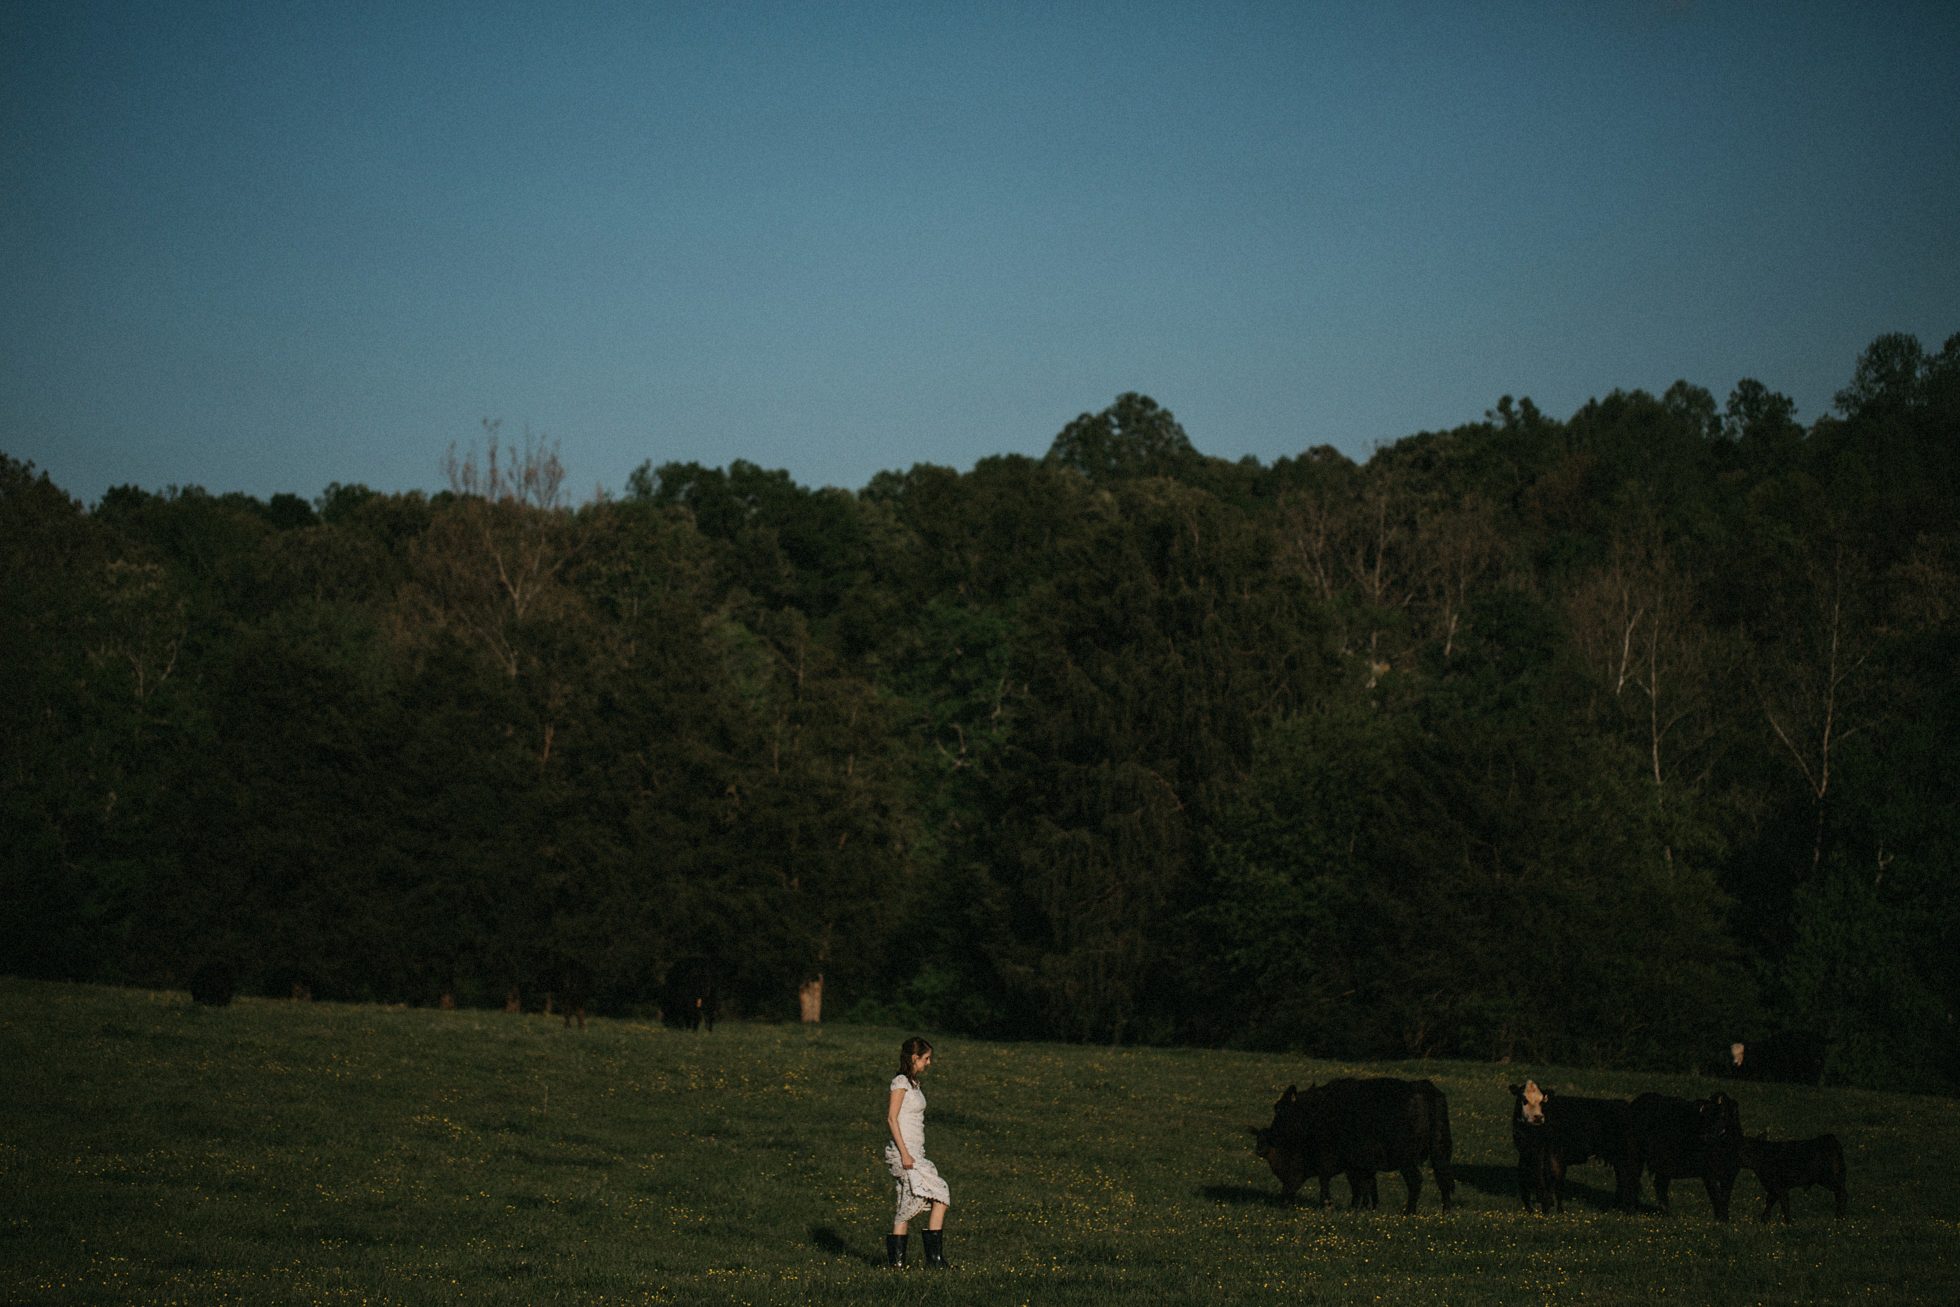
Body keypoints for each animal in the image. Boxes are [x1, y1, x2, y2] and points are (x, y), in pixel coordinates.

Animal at [1505, 1081, 1646, 1214]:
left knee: (1629, 1179)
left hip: (1626, 1156)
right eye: (1524, 1099)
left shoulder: (1556, 1156)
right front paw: (1537, 1207)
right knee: (1623, 1179)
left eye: (1542, 1100)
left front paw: (1557, 1209)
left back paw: (1629, 1209)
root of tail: (1624, 1105)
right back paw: (1618, 1206)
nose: (1538, 1117)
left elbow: (1555, 1179)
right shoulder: (1528, 1154)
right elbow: (1535, 1178)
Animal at [1622, 1089, 1748, 1222]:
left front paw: (1724, 1219)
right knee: (1631, 1179)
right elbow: (1716, 1195)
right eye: (1705, 1115)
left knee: (1659, 1184)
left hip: (1665, 1163)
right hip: (1634, 1154)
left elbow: (1725, 1196)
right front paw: (1721, 1219)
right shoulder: (1707, 1172)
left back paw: (1666, 1214)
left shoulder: (1731, 1172)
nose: (1706, 1136)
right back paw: (1631, 1211)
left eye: (1723, 1114)